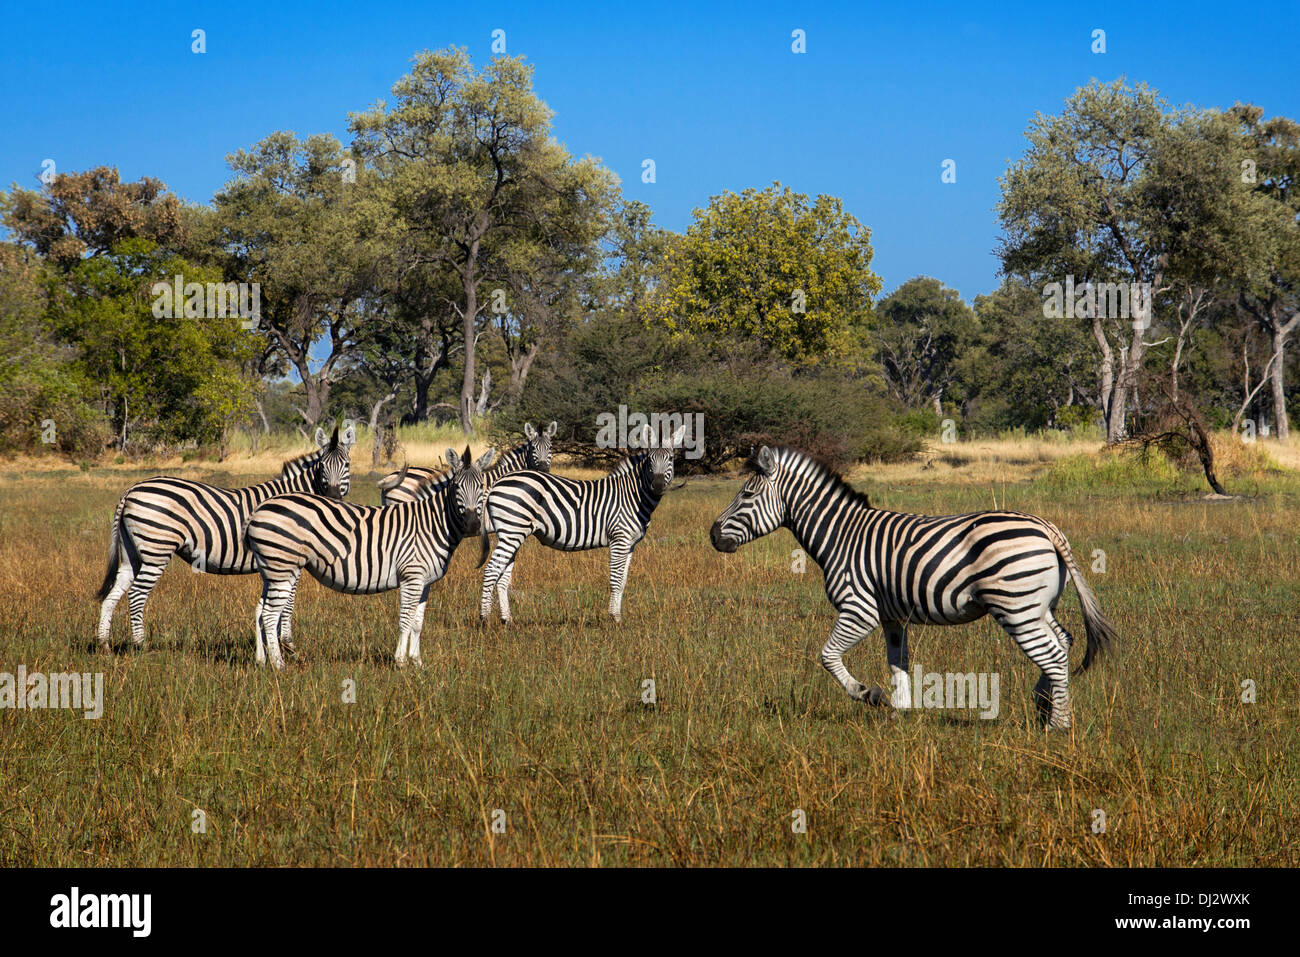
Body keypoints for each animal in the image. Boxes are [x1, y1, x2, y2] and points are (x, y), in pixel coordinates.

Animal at [95, 424, 356, 654]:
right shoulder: (291, 559)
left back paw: (104, 645)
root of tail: (132, 489)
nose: (333, 497)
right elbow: (288, 602)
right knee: (136, 595)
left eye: (346, 464)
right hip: (156, 548)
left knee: (113, 594)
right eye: (322, 466)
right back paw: (141, 647)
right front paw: (287, 644)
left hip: (132, 552)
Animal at [244, 446, 495, 670]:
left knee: (261, 610)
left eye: (482, 487)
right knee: (270, 614)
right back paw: (279, 665)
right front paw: (401, 662)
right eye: (457, 487)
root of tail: (259, 508)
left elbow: (417, 623)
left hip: (273, 570)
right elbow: (405, 620)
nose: (473, 525)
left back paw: (262, 661)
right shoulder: (411, 576)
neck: (431, 524)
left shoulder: (424, 582)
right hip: (283, 566)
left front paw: (418, 663)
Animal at [477, 424, 686, 624]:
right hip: (512, 531)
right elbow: (616, 580)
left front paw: (618, 617)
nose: (657, 485)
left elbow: (624, 580)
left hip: (511, 532)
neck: (632, 495)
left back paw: (507, 620)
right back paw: (485, 619)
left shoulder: (630, 544)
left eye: (671, 458)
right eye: (650, 460)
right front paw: (614, 619)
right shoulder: (619, 539)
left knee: (502, 576)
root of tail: (497, 483)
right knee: (492, 569)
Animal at [709, 445, 1115, 729]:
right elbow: (898, 665)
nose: (712, 535)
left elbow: (827, 656)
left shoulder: (859, 609)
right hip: (1038, 605)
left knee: (1054, 654)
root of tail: (1046, 527)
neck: (840, 536)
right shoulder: (893, 617)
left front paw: (868, 694)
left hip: (1015, 606)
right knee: (1063, 642)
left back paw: (1057, 725)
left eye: (746, 496)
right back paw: (1045, 703)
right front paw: (899, 714)